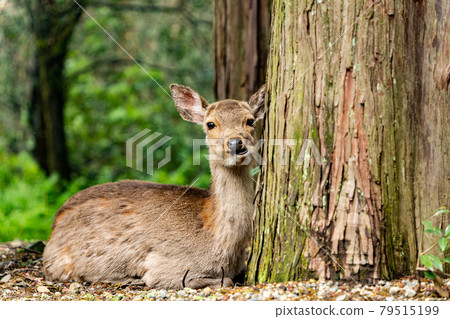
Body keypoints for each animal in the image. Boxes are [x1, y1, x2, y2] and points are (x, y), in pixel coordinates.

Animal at [42, 83, 266, 290]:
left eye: (250, 120)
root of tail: (53, 227)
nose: (236, 143)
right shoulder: (167, 267)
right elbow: (224, 281)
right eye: (210, 124)